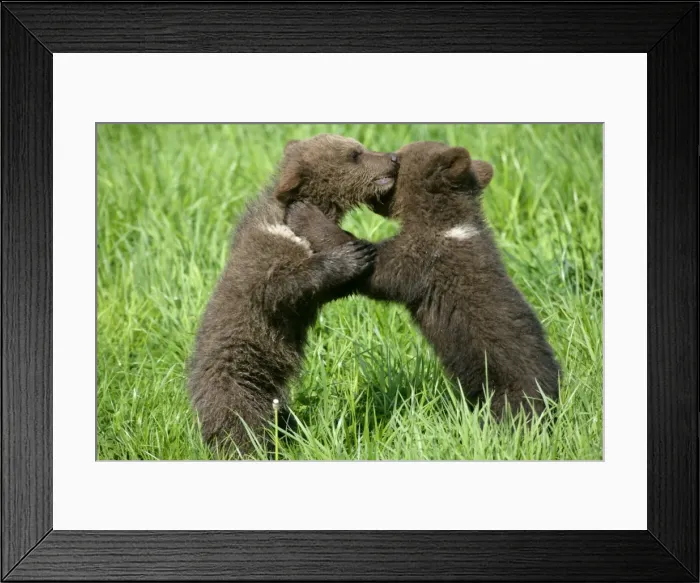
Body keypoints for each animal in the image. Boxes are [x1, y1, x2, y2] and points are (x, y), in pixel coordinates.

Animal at [188, 134, 399, 456]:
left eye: (360, 147)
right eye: (354, 154)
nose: (394, 158)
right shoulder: (267, 256)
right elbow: (281, 287)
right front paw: (351, 255)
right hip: (239, 378)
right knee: (240, 422)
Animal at [286, 140, 561, 420]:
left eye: (399, 157)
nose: (391, 157)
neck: (444, 223)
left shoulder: (424, 259)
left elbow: (378, 270)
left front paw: (305, 212)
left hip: (506, 383)